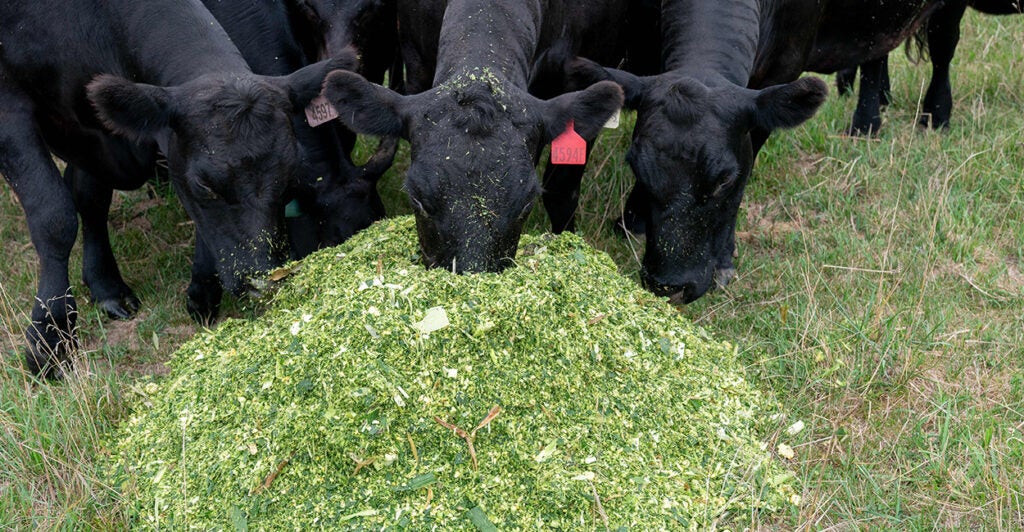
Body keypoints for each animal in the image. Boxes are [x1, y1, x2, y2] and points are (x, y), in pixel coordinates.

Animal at [0, 0, 342, 376]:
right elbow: (55, 216)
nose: (261, 279)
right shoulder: (10, 106)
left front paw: (112, 287)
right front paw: (50, 339)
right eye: (204, 183)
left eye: (289, 176)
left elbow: (90, 198)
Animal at [565, 0, 946, 302]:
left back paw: (932, 114)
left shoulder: (780, 76)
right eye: (636, 165)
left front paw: (724, 261)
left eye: (724, 179)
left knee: (943, 44)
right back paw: (870, 115)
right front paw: (632, 218)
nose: (668, 285)